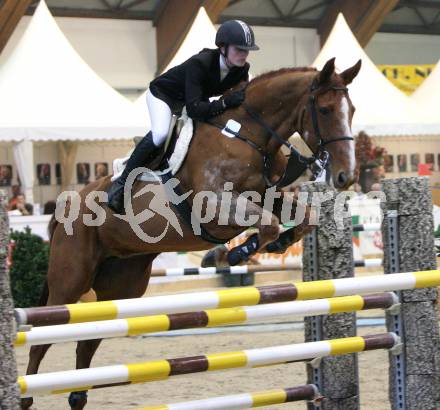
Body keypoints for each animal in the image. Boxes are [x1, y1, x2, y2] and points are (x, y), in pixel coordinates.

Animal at [21, 56, 360, 410]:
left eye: (351, 110)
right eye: (325, 110)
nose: (346, 177)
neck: (246, 136)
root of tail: (65, 206)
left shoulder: (268, 196)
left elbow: (304, 218)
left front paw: (272, 244)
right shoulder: (213, 206)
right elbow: (265, 224)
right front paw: (230, 254)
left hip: (120, 287)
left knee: (87, 341)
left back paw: (77, 396)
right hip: (70, 282)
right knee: (41, 338)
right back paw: (26, 397)